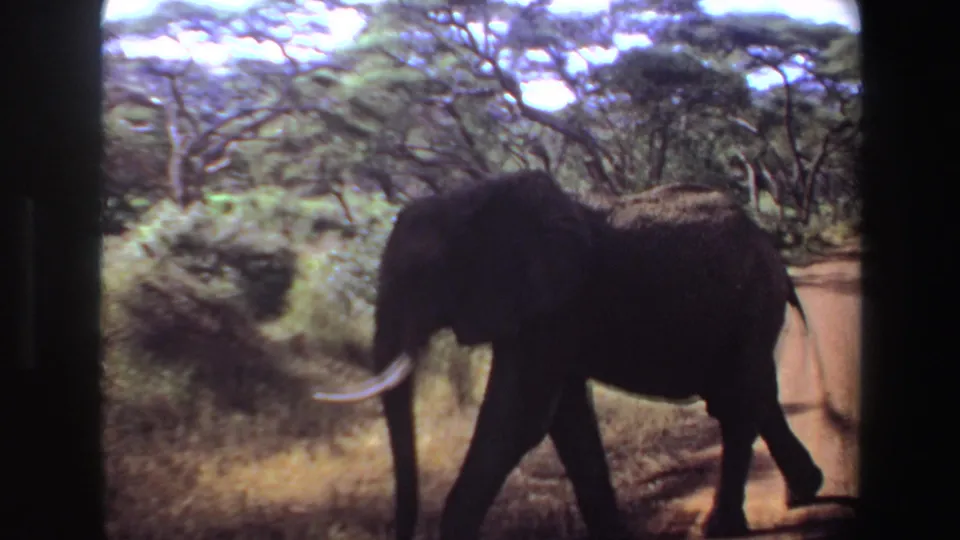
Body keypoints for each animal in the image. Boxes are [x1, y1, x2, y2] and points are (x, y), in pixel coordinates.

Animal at [311, 169, 825, 540]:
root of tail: (773, 250)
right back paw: (803, 493)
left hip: (753, 303)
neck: (474, 197)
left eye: (423, 275)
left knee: (738, 402)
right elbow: (567, 422)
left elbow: (518, 419)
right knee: (748, 396)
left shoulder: (554, 307)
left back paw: (723, 528)